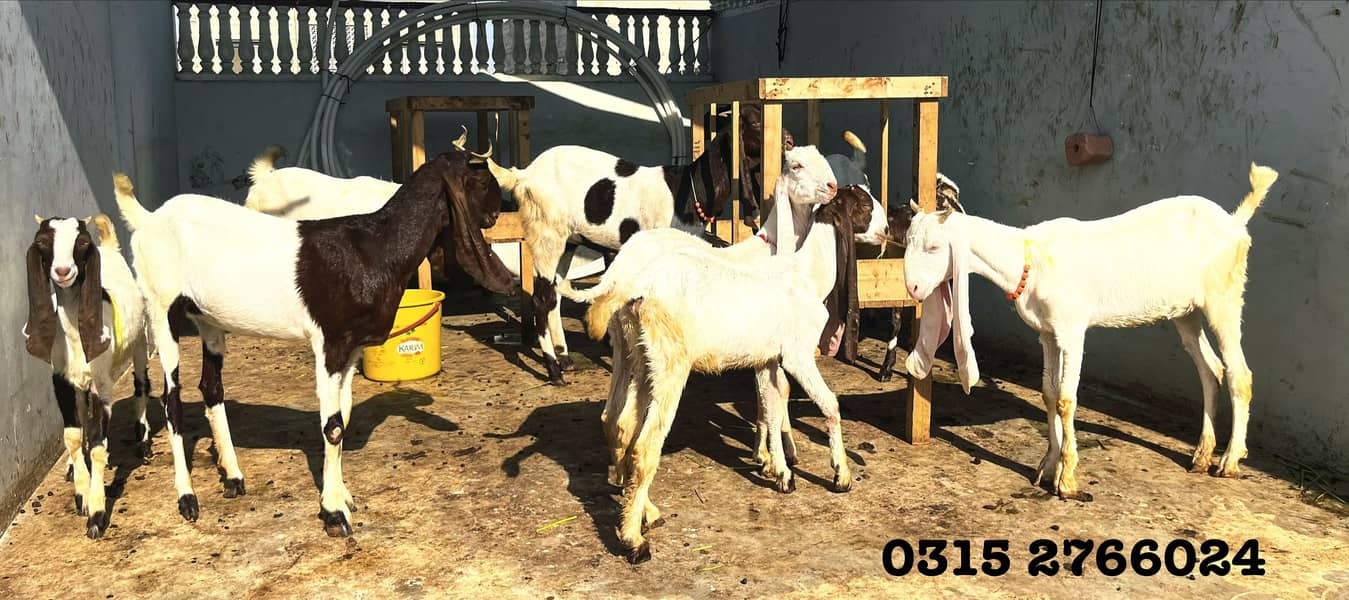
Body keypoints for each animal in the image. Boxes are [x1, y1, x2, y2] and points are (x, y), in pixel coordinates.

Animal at [24, 213, 152, 539]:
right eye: (43, 242)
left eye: (81, 242)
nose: (63, 271)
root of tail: (109, 247)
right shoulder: (60, 379)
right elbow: (71, 435)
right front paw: (80, 491)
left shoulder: (102, 386)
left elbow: (97, 445)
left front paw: (96, 513)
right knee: (81, 415)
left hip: (140, 341)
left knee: (142, 385)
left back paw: (143, 439)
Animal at [112, 145, 515, 537]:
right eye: (481, 181)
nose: (496, 214)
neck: (373, 248)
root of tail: (149, 219)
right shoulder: (329, 341)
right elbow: (332, 426)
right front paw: (334, 514)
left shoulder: (351, 347)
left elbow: (341, 417)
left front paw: (341, 496)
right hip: (161, 308)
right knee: (172, 401)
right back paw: (187, 498)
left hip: (208, 319)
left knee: (211, 388)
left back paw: (233, 476)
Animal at [484, 105, 795, 384]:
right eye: (754, 122)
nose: (789, 140)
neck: (686, 189)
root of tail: (523, 175)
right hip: (547, 234)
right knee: (541, 299)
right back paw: (554, 371)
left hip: (568, 241)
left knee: (554, 296)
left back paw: (565, 358)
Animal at [902, 163, 1278, 502]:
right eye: (907, 240)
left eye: (935, 247)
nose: (914, 287)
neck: (1031, 259)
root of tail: (1235, 222)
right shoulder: (1048, 333)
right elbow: (1048, 394)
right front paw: (1047, 467)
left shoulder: (1071, 330)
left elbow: (1066, 400)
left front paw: (1067, 479)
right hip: (1186, 310)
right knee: (1210, 370)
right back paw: (1201, 455)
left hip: (1224, 297)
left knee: (1239, 374)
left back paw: (1230, 460)